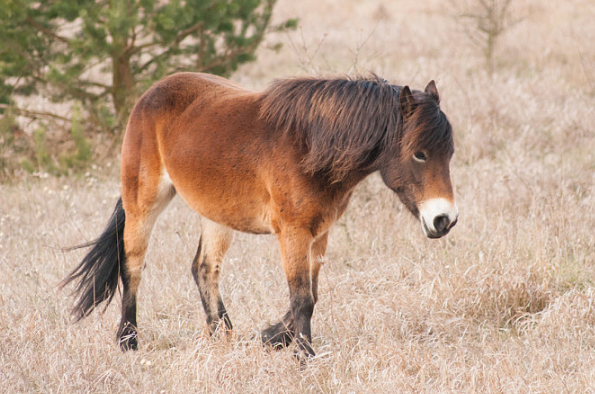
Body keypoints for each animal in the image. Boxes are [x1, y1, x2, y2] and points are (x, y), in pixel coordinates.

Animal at [62, 72, 458, 358]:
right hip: (143, 204)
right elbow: (303, 297)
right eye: (419, 153)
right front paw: (302, 355)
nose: (445, 220)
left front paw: (272, 337)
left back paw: (221, 336)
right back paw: (128, 340)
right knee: (133, 265)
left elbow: (312, 293)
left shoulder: (319, 233)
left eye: (449, 152)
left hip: (216, 215)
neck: (311, 147)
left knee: (204, 268)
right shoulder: (294, 233)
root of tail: (152, 92)